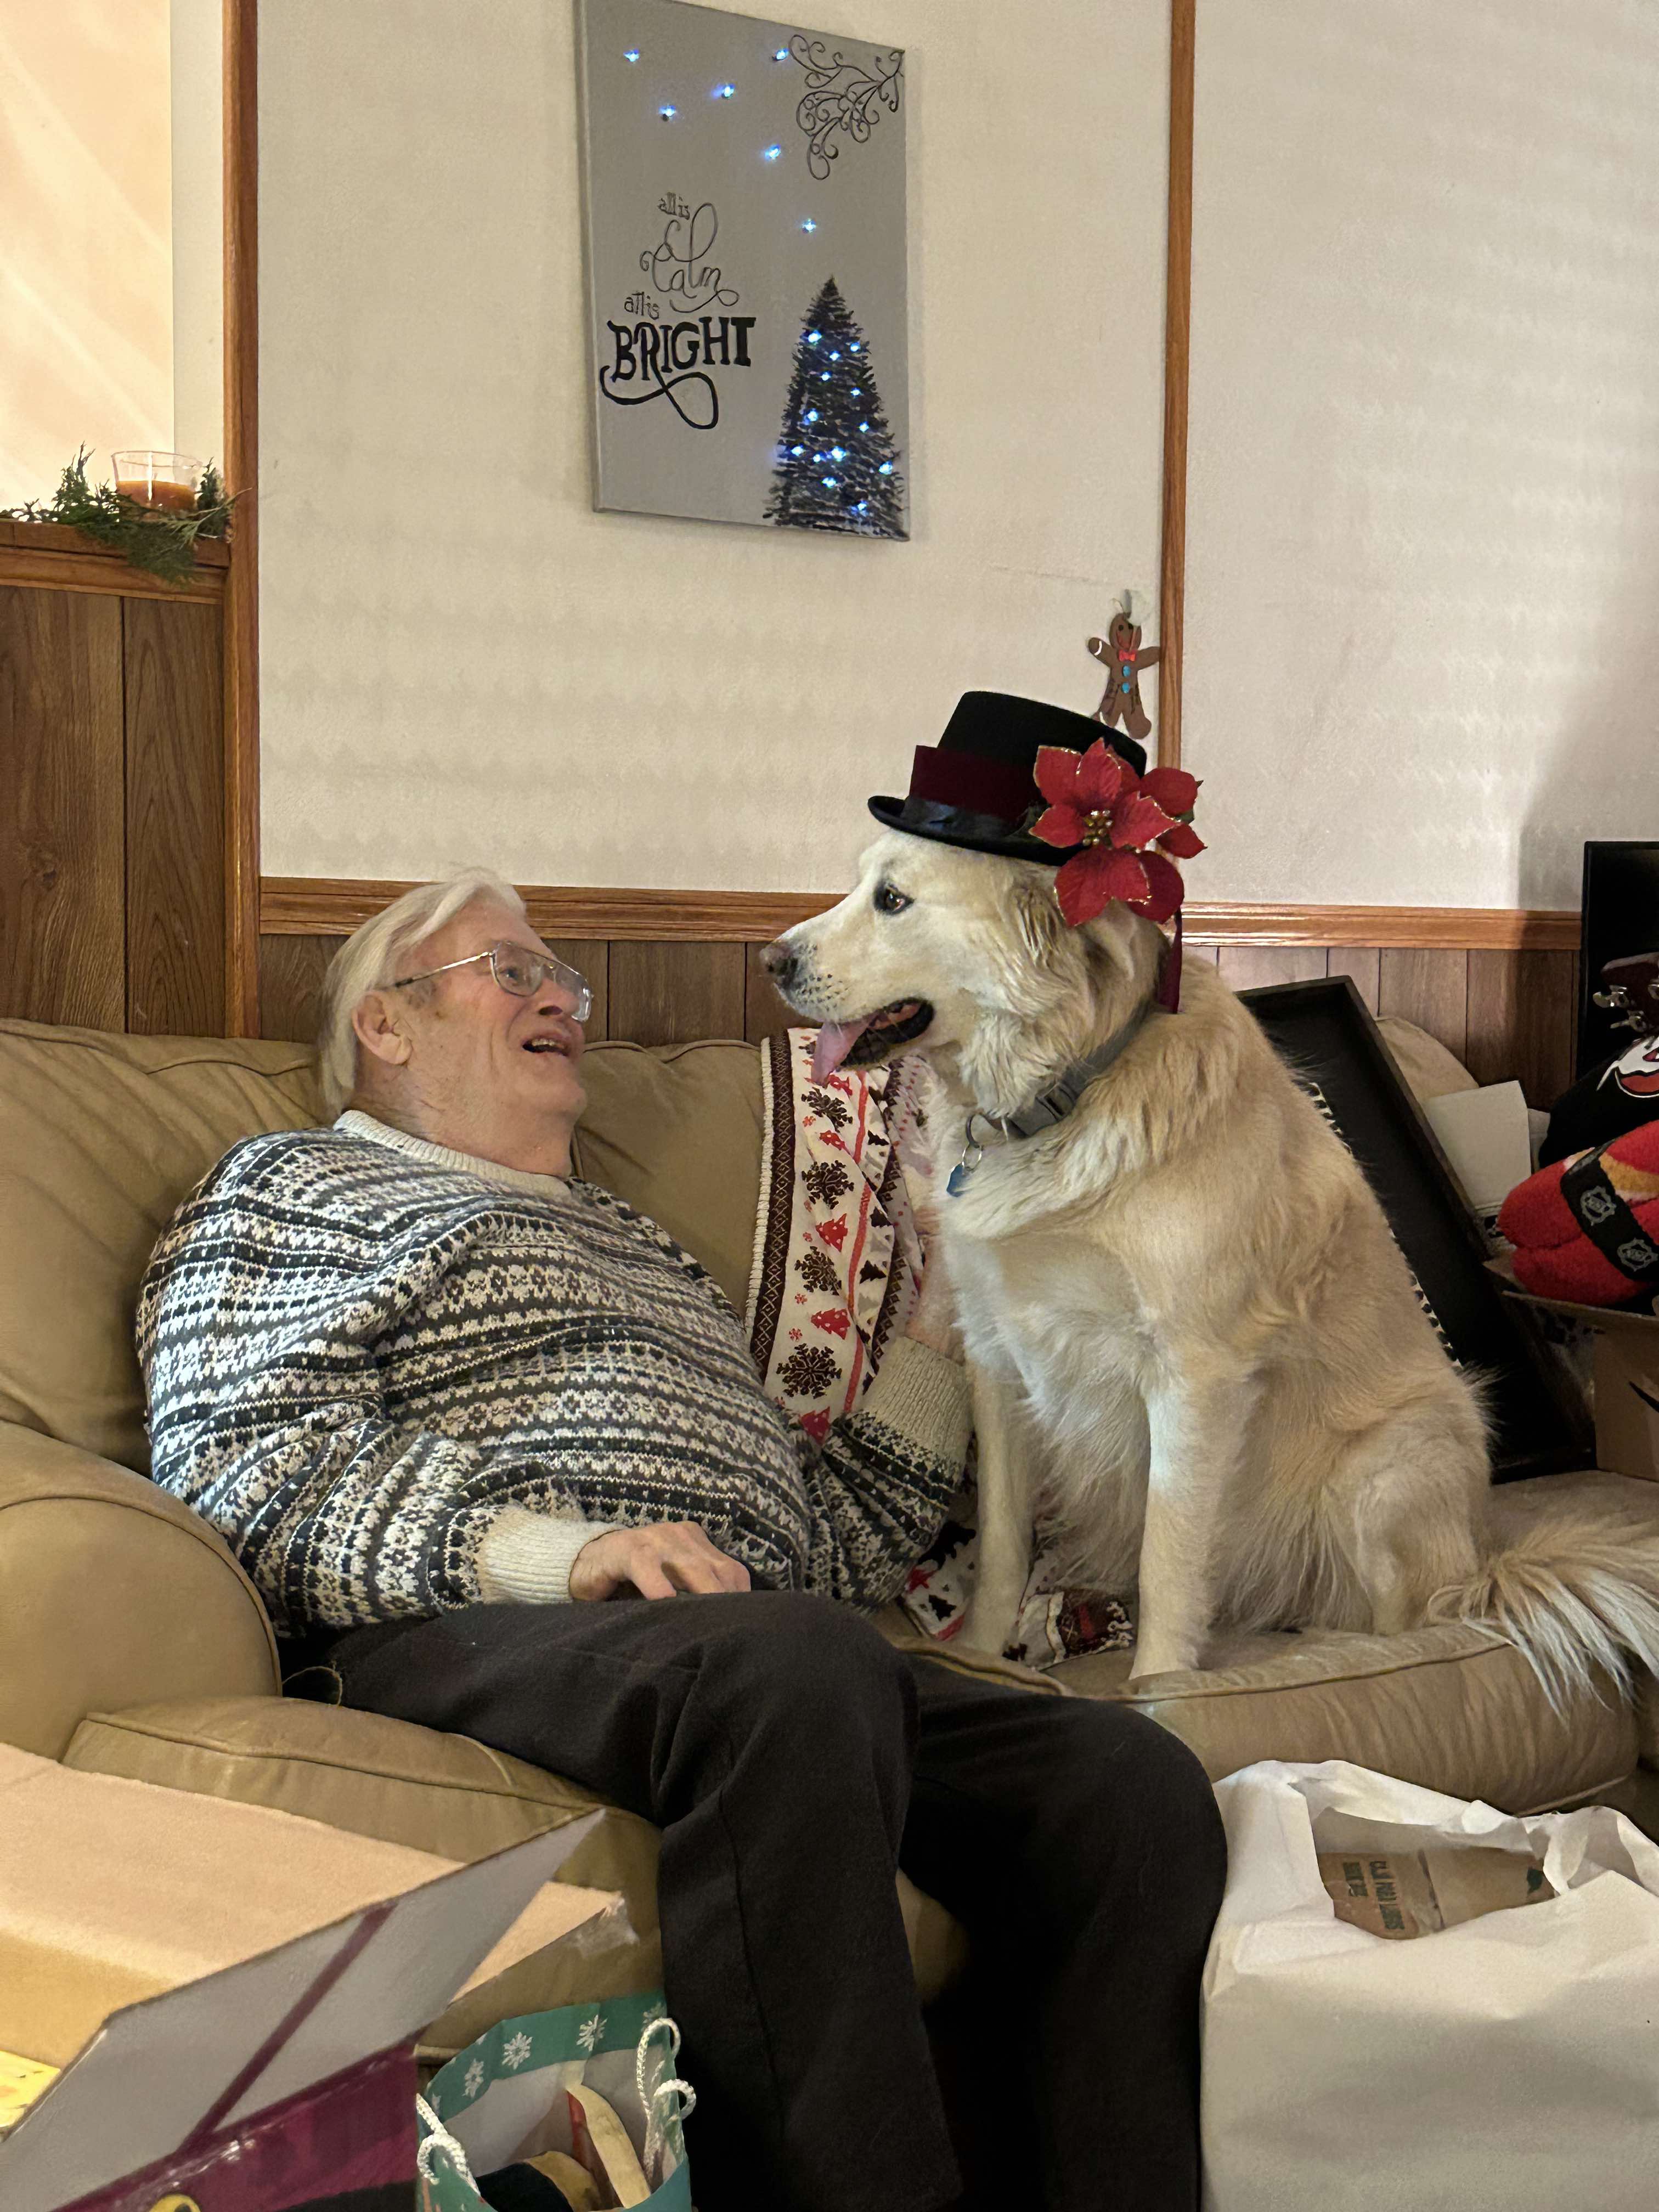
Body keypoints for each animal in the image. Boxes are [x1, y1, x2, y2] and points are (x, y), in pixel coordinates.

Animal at [766, 830, 1659, 1701]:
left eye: (892, 899)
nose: (772, 961)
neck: (1064, 1098)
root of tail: (1483, 1566)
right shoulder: (997, 1358)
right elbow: (1001, 1549)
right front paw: (982, 1657)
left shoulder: (1192, 1378)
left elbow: (1168, 1557)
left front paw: (1162, 1686)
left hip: (1386, 1469)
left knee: (1418, 1625)